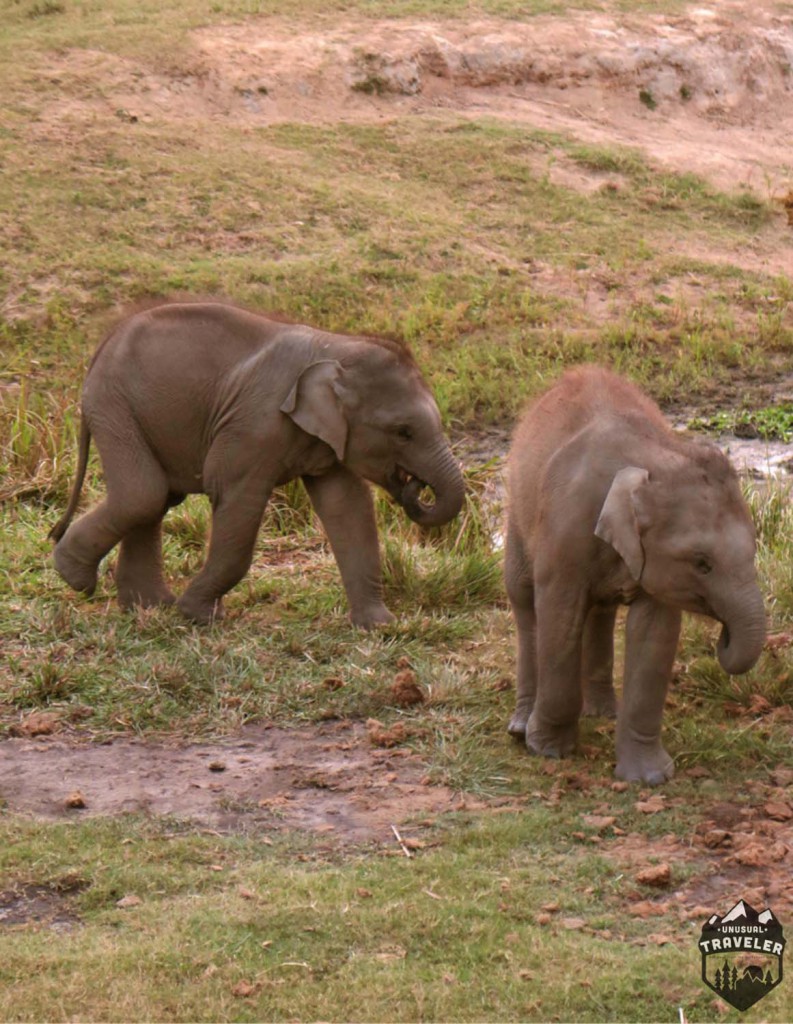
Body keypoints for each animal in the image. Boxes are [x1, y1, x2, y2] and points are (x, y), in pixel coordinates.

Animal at [48, 299, 465, 626]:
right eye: (403, 432)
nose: (415, 485)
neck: (336, 346)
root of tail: (102, 344)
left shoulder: (329, 437)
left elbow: (348, 507)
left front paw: (380, 626)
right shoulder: (253, 427)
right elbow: (237, 499)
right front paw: (198, 615)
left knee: (157, 498)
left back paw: (148, 607)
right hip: (114, 404)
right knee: (143, 493)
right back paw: (76, 578)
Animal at [506, 368, 766, 782]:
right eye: (702, 563)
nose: (722, 639)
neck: (650, 462)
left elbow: (653, 635)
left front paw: (649, 778)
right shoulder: (565, 529)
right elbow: (560, 618)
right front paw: (548, 750)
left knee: (600, 612)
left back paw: (602, 713)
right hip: (517, 508)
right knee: (525, 601)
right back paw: (520, 728)